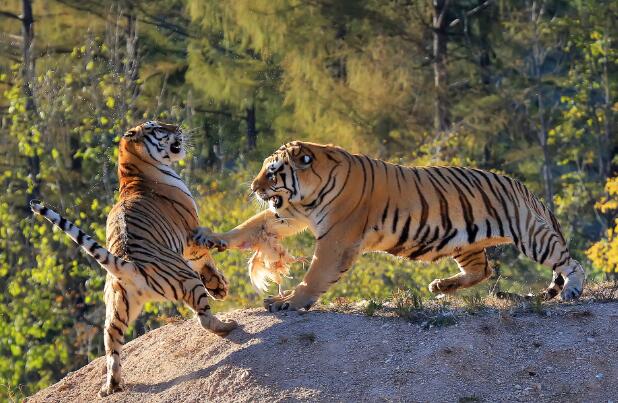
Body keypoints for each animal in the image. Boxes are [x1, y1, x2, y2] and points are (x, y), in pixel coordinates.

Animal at [30, 120, 238, 398]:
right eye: (159, 127)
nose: (178, 127)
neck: (132, 171)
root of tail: (128, 265)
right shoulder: (192, 234)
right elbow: (206, 257)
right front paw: (220, 286)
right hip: (187, 279)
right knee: (203, 318)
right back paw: (227, 326)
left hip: (116, 311)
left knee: (111, 348)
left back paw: (111, 386)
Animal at [195, 141, 584, 312]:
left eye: (273, 171)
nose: (253, 186)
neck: (310, 193)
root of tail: (527, 190)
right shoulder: (288, 214)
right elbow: (250, 226)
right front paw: (211, 237)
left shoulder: (336, 238)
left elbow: (315, 275)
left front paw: (291, 301)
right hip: (465, 243)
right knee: (483, 270)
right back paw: (441, 285)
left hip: (530, 235)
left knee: (570, 262)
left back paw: (573, 291)